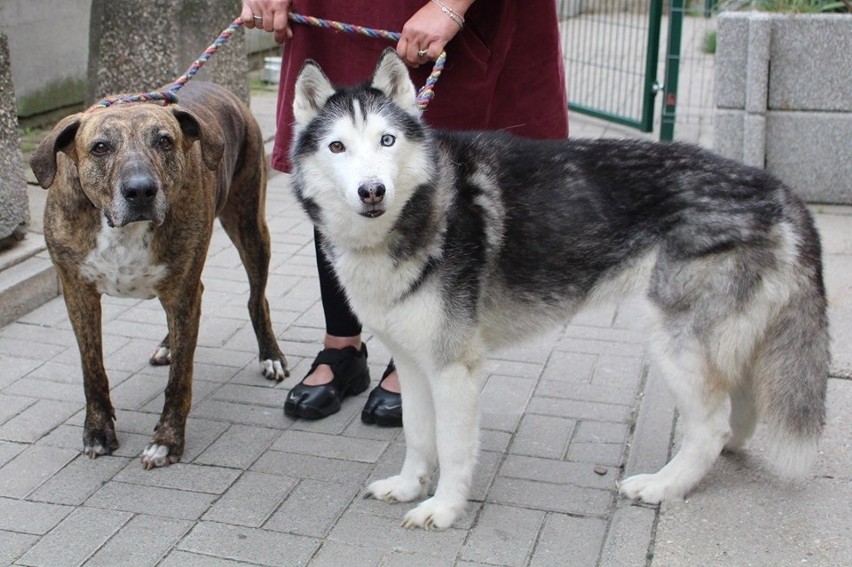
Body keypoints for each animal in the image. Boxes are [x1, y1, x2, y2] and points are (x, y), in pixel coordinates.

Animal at [30, 80, 290, 470]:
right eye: (100, 147)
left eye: (165, 141)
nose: (140, 190)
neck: (121, 229)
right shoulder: (79, 293)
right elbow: (92, 369)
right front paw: (98, 431)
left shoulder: (182, 293)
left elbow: (179, 380)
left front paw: (166, 442)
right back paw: (168, 344)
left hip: (249, 225)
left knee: (256, 299)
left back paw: (270, 355)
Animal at [290, 50, 828, 532]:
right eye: (337, 147)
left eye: (386, 140)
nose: (372, 191)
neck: (422, 210)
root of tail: (778, 188)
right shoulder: (412, 362)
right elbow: (419, 435)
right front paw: (408, 487)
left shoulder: (453, 368)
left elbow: (453, 448)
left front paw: (443, 509)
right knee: (742, 403)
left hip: (675, 342)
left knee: (711, 426)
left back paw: (663, 484)